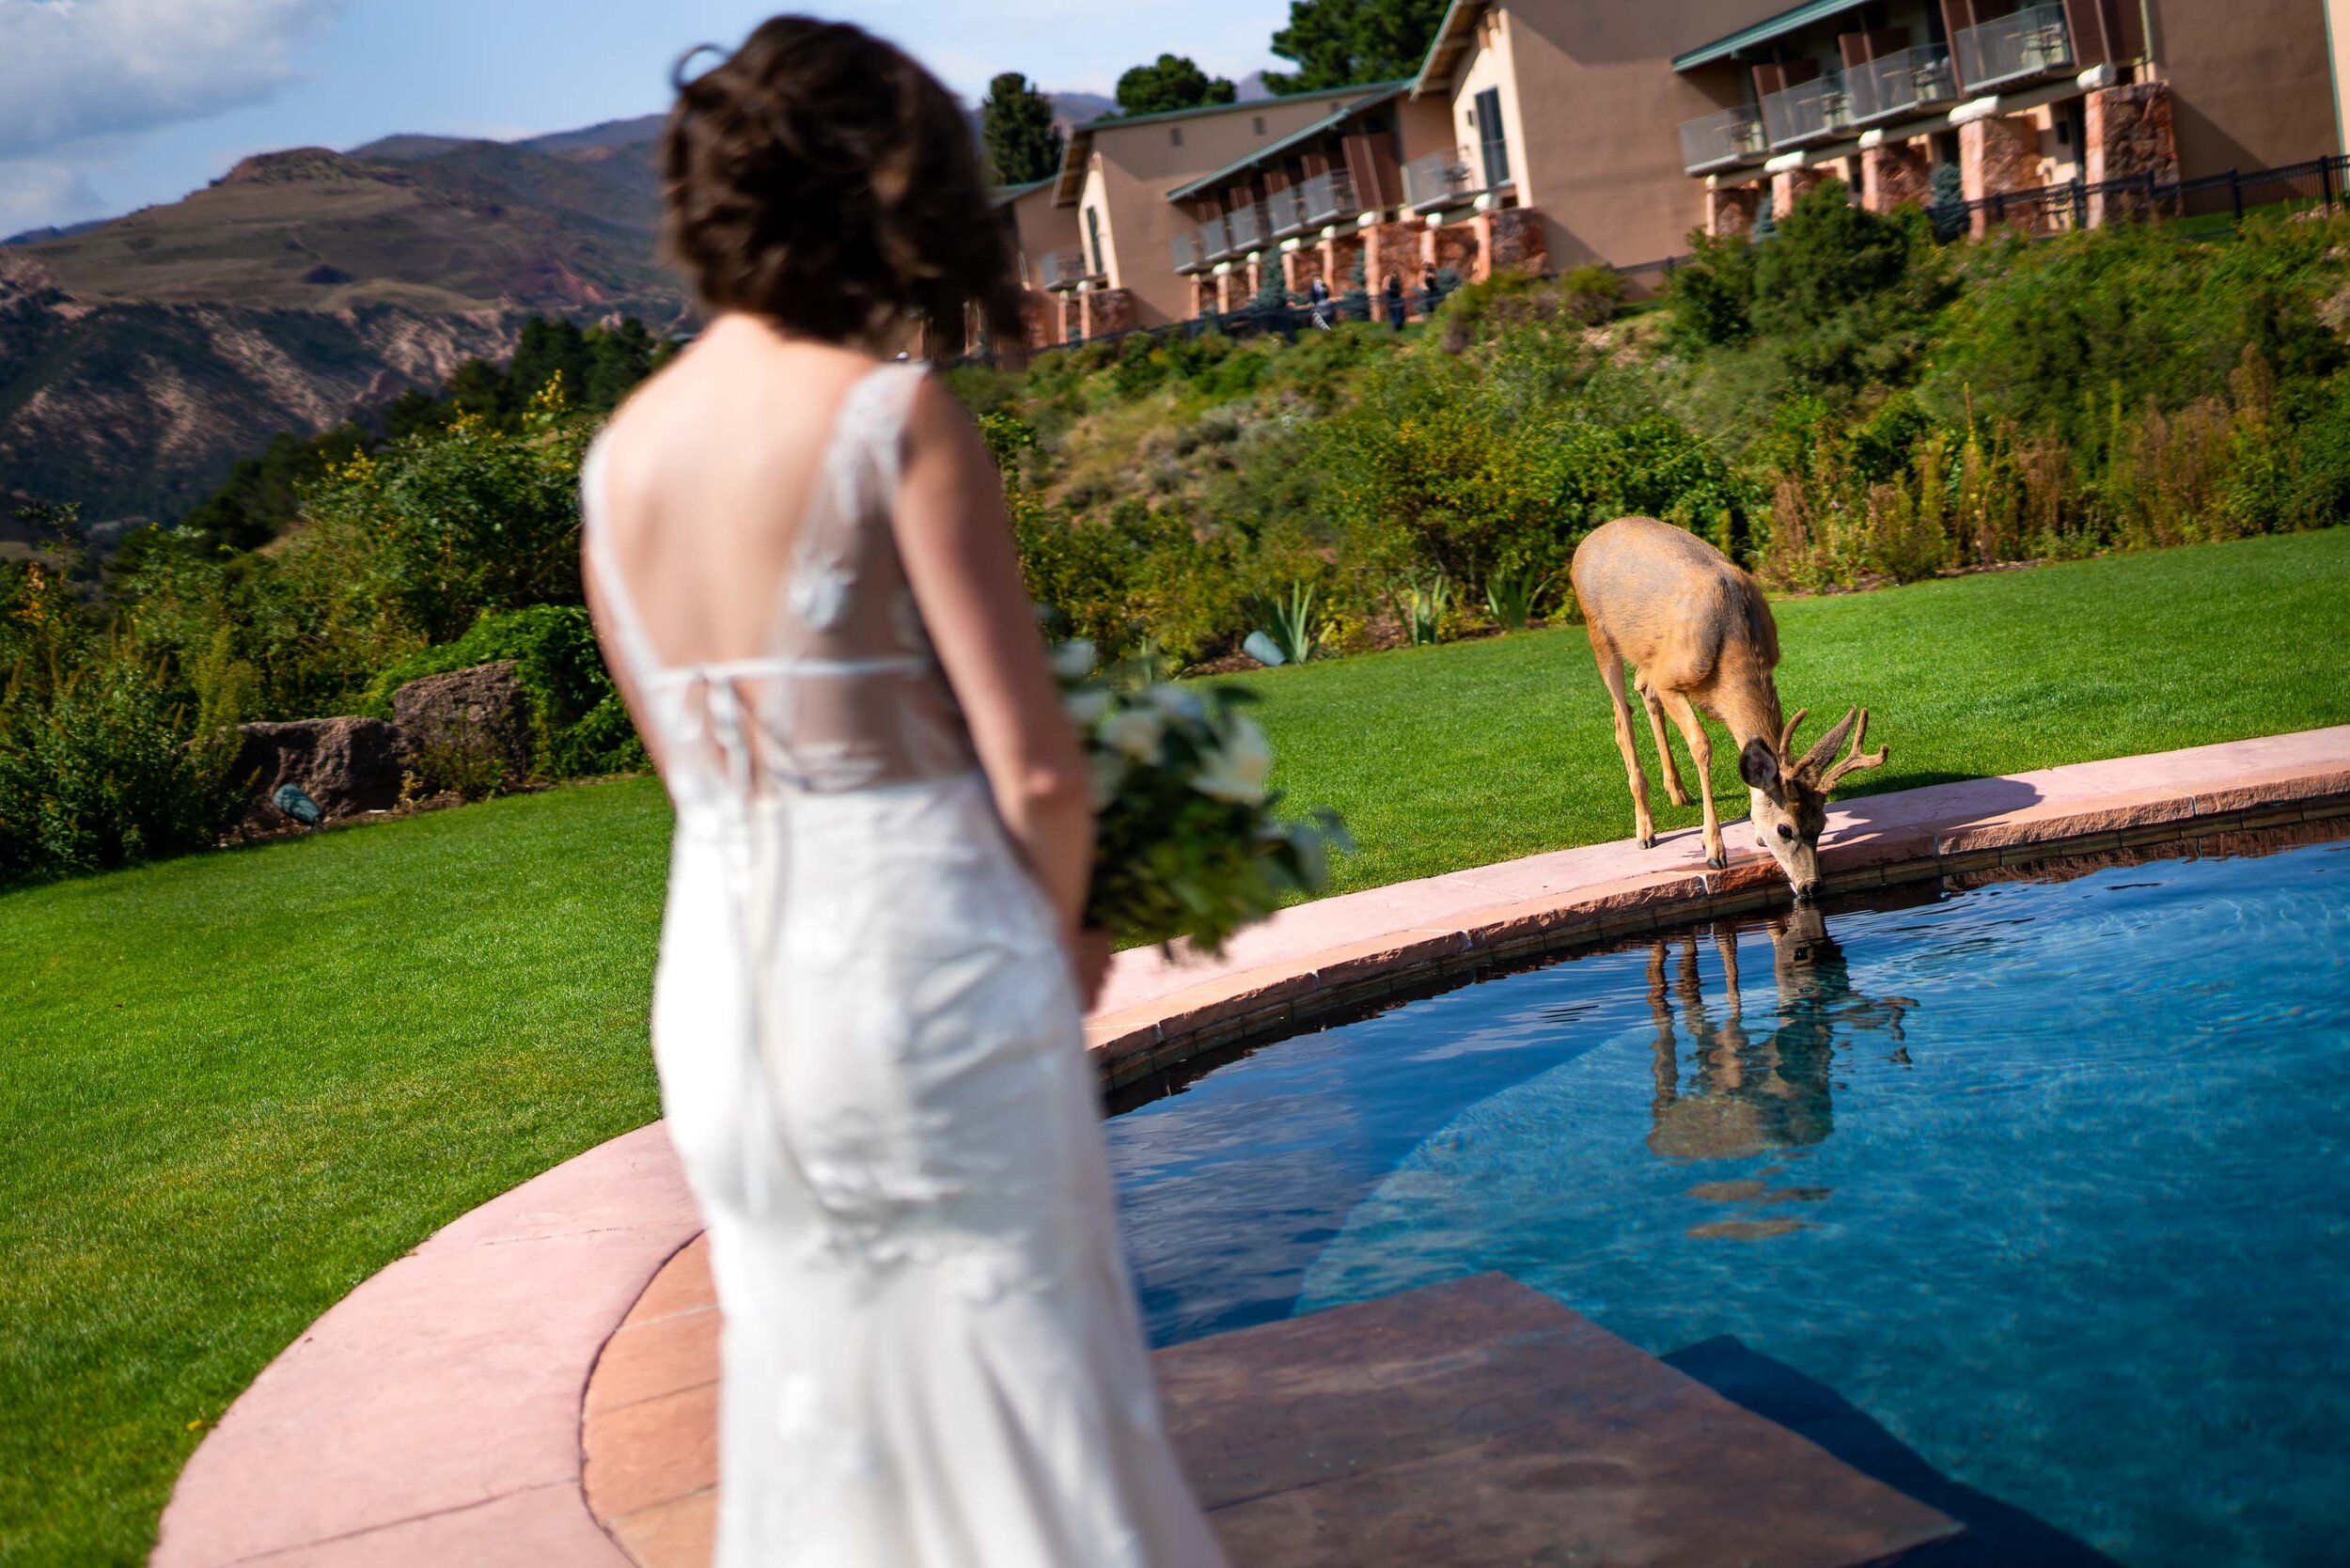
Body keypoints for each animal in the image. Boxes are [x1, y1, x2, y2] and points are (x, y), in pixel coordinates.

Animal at [1570, 517, 1880, 893]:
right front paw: (1714, 849)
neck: (1734, 642)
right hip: (1598, 632)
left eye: (1821, 824)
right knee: (1620, 718)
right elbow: (1701, 745)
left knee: (1642, 687)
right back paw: (1645, 829)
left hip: (1646, 650)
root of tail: (1589, 539)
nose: (1811, 885)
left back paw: (1678, 792)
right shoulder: (1671, 676)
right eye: (1785, 829)